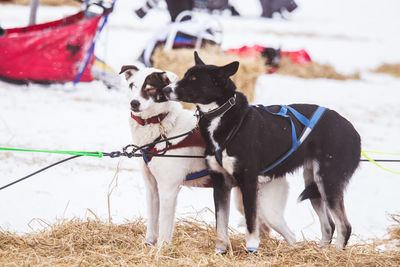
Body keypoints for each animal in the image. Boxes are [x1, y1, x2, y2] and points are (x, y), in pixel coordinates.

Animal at [161, 51, 360, 251]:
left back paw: (336, 253)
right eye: (185, 75)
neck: (222, 117)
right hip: (314, 183)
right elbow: (221, 223)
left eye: (193, 79)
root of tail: (352, 130)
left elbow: (251, 221)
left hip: (328, 181)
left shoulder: (248, 181)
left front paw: (251, 248)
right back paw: (320, 251)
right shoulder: (220, 181)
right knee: (329, 225)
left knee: (344, 225)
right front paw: (220, 250)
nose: (165, 90)